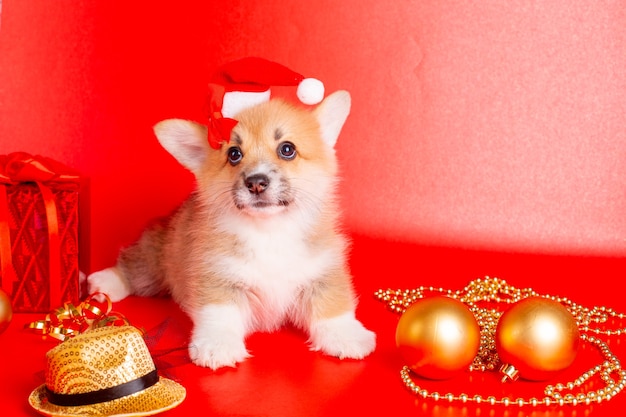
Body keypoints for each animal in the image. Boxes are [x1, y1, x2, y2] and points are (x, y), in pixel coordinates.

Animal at [88, 90, 376, 368]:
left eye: (287, 149)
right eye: (234, 154)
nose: (256, 182)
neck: (269, 231)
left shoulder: (323, 271)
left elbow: (333, 304)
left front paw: (345, 335)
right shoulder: (216, 274)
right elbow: (220, 312)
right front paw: (217, 345)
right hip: (153, 264)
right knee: (133, 266)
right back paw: (103, 282)